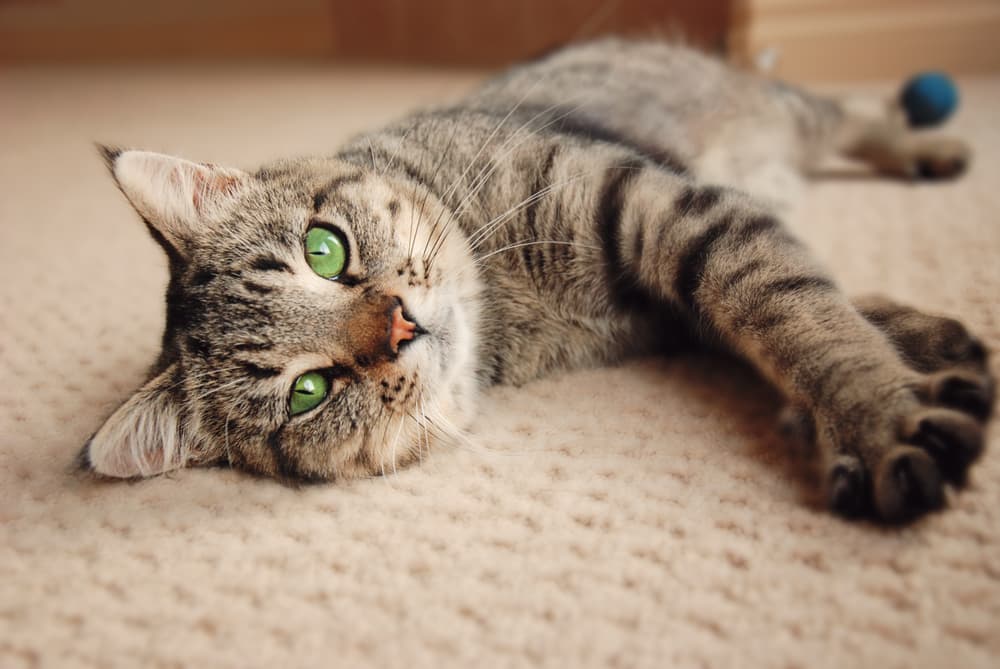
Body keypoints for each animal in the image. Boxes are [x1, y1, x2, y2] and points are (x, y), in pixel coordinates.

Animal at [80, 39, 992, 524]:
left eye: (326, 250)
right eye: (309, 391)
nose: (401, 325)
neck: (510, 297)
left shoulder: (660, 202)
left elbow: (795, 313)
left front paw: (875, 417)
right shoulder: (682, 286)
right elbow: (802, 299)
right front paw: (932, 351)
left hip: (782, 114)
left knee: (849, 116)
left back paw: (929, 146)